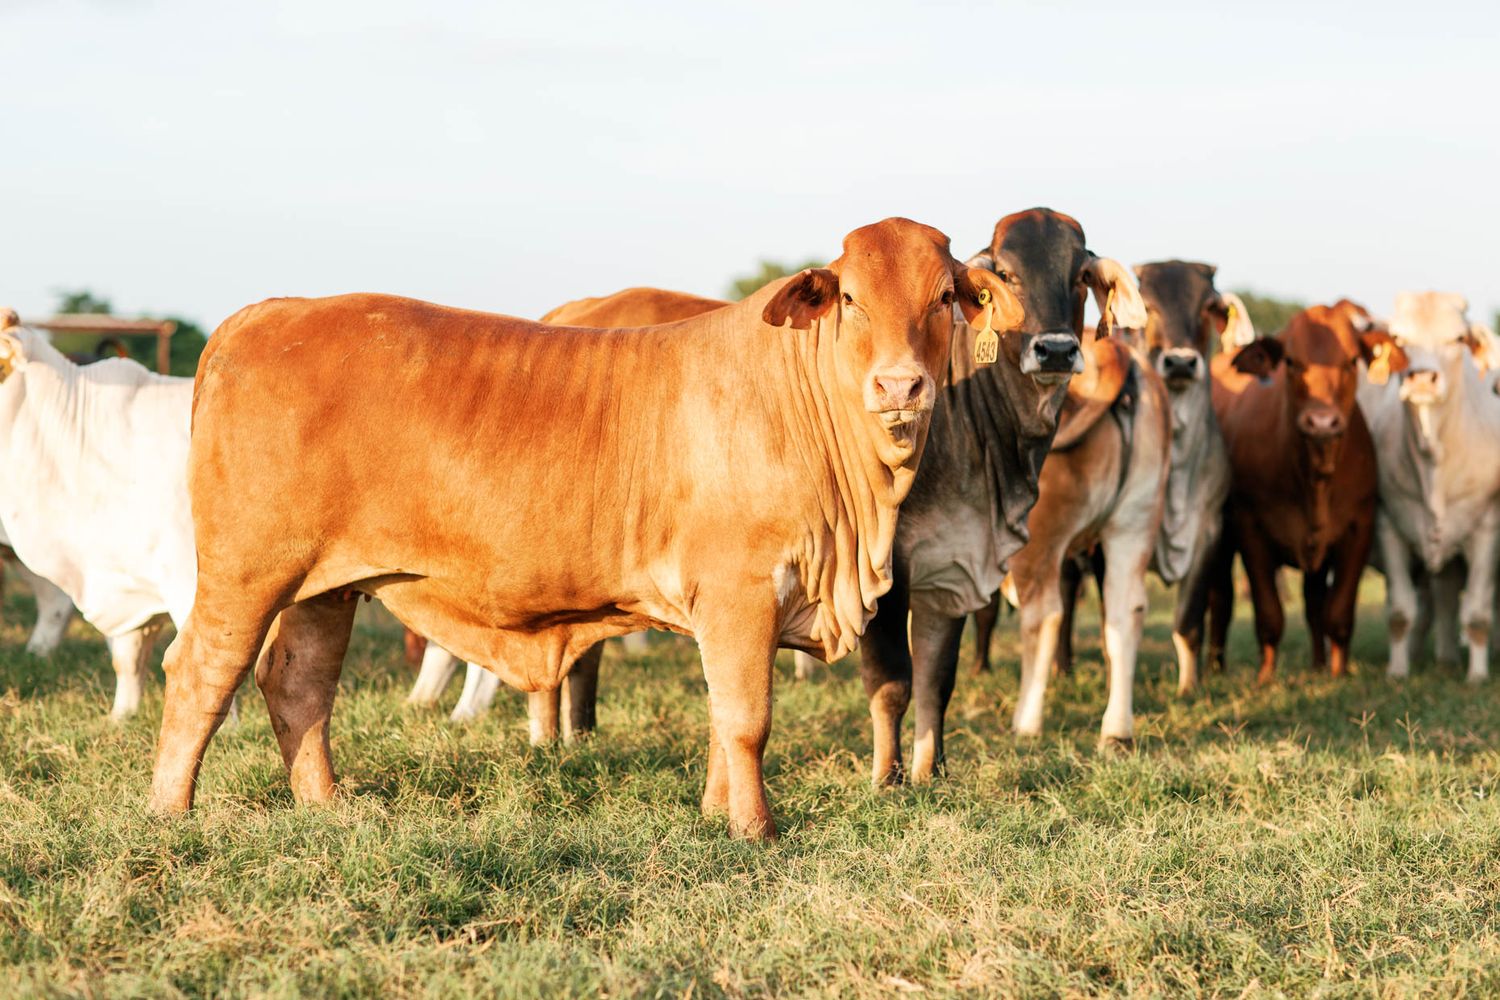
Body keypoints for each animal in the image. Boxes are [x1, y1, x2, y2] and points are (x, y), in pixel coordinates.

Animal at [147, 218, 1018, 840]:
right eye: (850, 299)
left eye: (943, 298)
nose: (900, 385)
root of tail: (270, 312)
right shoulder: (738, 591)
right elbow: (746, 720)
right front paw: (755, 829)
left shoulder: (735, 608)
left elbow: (722, 714)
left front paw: (715, 813)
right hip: (247, 572)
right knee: (199, 674)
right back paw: (170, 815)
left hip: (326, 585)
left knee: (298, 684)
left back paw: (326, 806)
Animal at [856, 208, 1147, 784]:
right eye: (1007, 275)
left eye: (1080, 276)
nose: (1056, 350)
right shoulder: (884, 569)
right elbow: (893, 679)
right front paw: (887, 777)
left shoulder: (956, 559)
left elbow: (937, 676)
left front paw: (932, 771)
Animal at [1210, 300, 1407, 683]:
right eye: (1290, 361)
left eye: (1351, 361)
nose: (1321, 422)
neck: (1314, 478)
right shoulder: (1249, 529)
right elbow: (1269, 614)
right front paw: (1266, 677)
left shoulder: (1359, 528)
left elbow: (1338, 613)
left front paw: (1338, 674)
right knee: (1221, 595)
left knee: (1315, 602)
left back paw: (1318, 664)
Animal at [1359, 292, 1500, 683]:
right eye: (1399, 339)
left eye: (1457, 338)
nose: (1421, 378)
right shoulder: (1388, 524)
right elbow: (1400, 611)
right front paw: (1397, 670)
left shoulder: (1486, 529)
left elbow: (1478, 614)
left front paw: (1477, 676)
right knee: (1442, 598)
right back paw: (1443, 656)